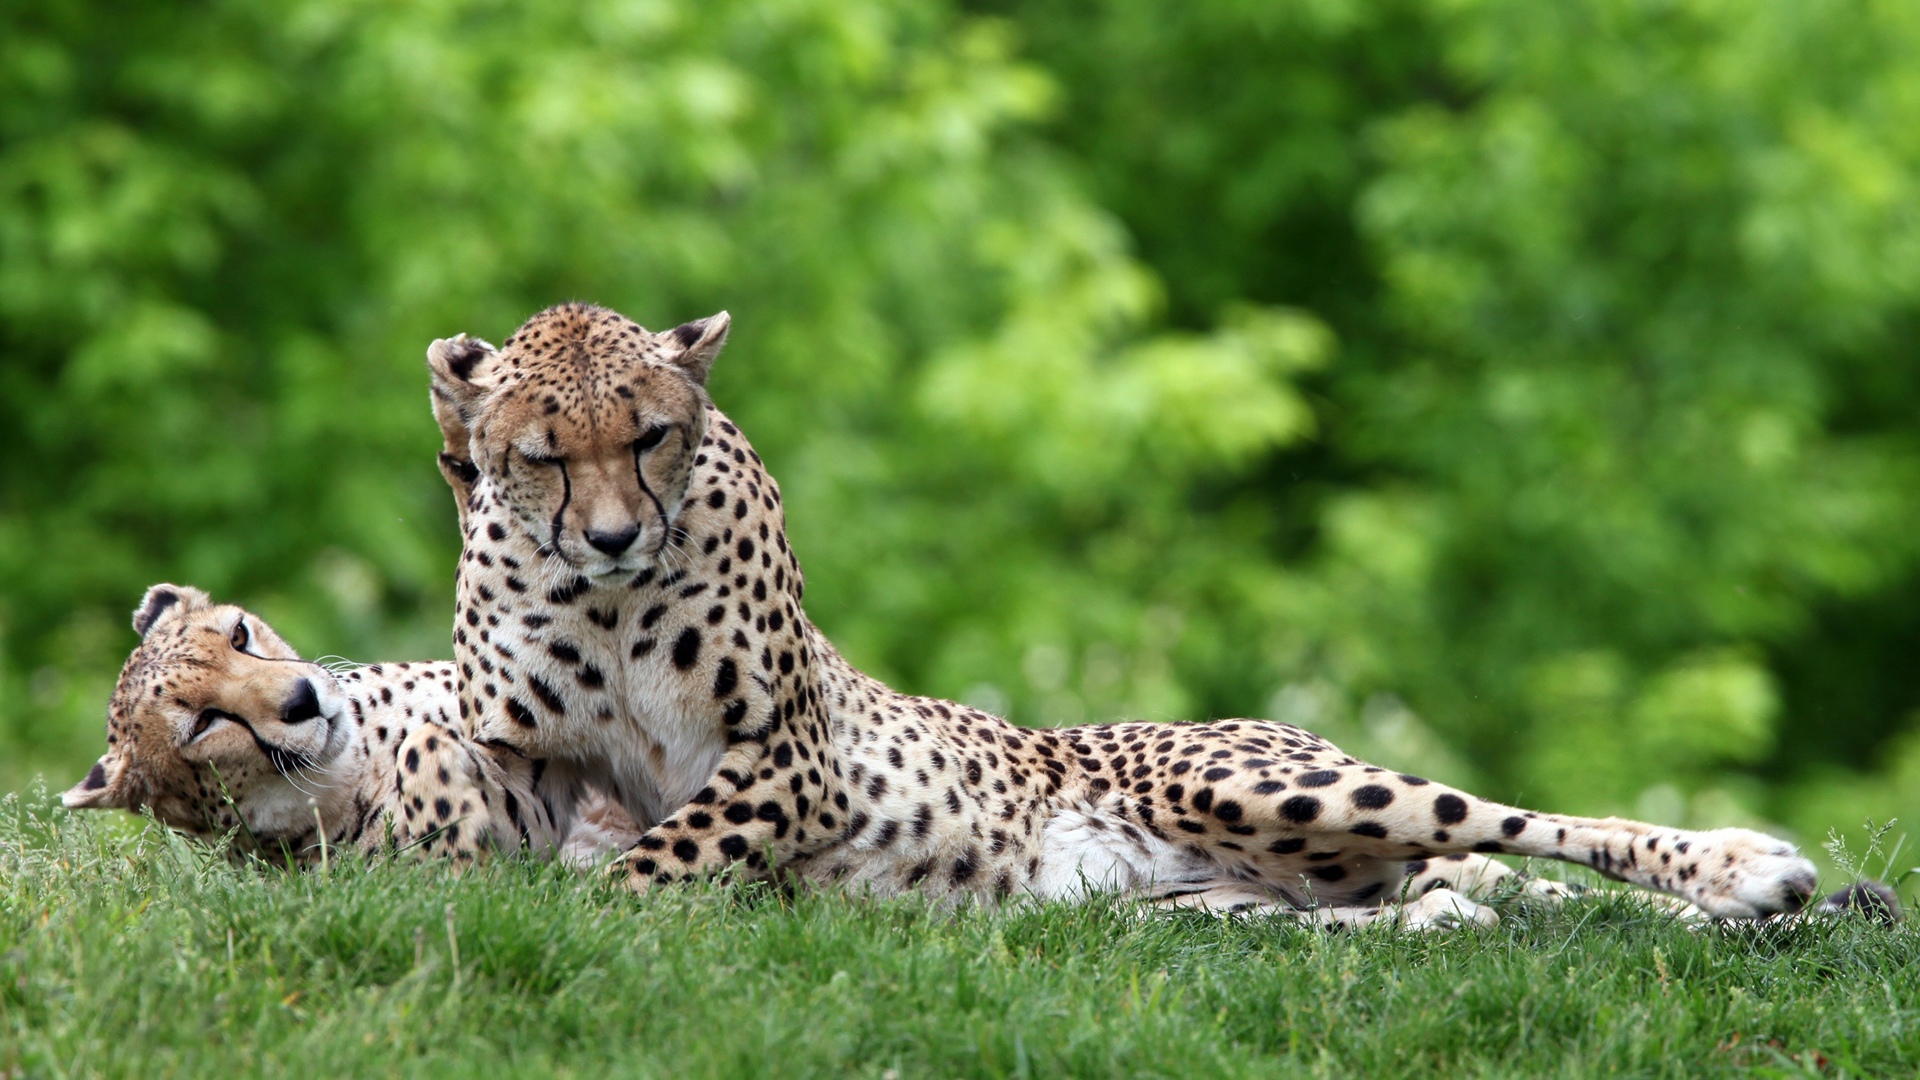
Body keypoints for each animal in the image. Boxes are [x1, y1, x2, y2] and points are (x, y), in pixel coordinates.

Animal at [63, 583, 639, 868]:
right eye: (205, 722)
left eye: (239, 635)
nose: (303, 699)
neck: (356, 762)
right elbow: (426, 753)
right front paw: (458, 850)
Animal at [425, 301, 1865, 928]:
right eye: (544, 454)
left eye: (653, 436)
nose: (614, 534)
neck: (608, 602)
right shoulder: (523, 753)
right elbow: (509, 819)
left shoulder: (789, 757)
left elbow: (652, 862)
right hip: (1196, 900)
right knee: (1423, 896)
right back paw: (1451, 919)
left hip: (1262, 788)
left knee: (1517, 826)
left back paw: (1746, 872)